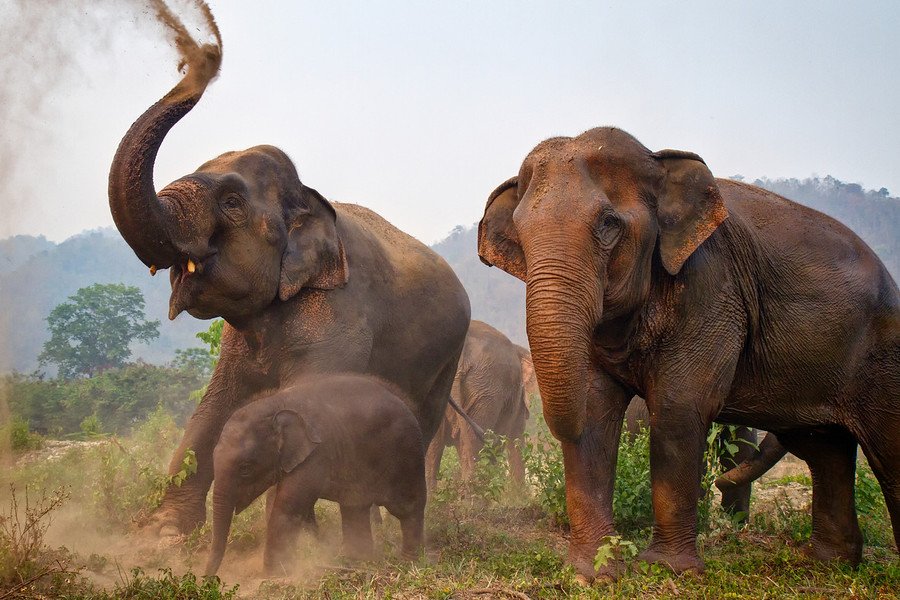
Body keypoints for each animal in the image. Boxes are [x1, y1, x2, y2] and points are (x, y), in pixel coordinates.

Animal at [107, 45, 470, 537]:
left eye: (232, 202)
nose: (205, 55)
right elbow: (212, 410)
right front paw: (164, 534)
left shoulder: (339, 322)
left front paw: (300, 538)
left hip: (445, 362)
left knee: (418, 425)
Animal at [204, 375, 426, 577]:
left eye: (245, 468)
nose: (207, 581)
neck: (276, 403)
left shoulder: (316, 454)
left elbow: (287, 506)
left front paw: (273, 575)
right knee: (354, 506)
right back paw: (357, 561)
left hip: (407, 452)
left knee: (407, 506)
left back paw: (408, 563)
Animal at [477, 126, 899, 579]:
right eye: (520, 233)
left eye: (608, 223)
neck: (658, 161)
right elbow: (594, 409)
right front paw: (591, 573)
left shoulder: (712, 286)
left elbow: (679, 407)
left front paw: (666, 569)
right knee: (825, 450)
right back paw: (826, 564)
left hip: (882, 355)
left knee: (885, 450)